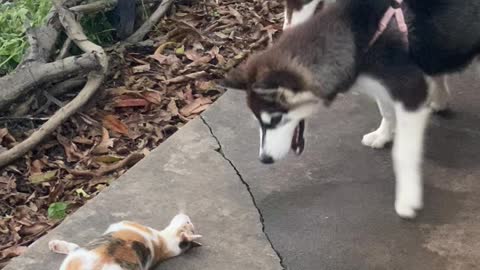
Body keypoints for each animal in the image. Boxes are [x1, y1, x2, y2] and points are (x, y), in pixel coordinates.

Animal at [50, 213, 202, 270]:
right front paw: (57, 245)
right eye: (189, 222)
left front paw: (56, 245)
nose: (186, 215)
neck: (163, 245)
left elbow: (75, 246)